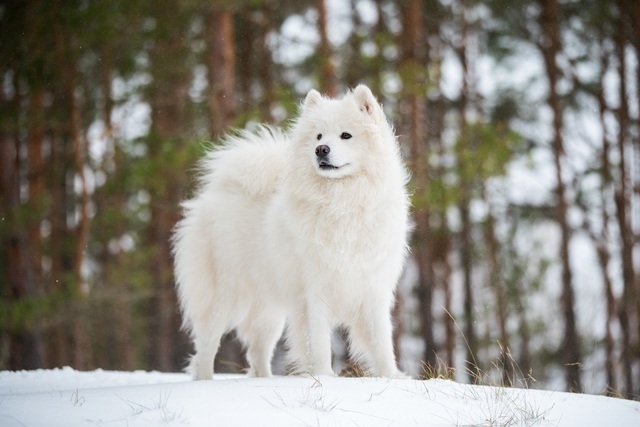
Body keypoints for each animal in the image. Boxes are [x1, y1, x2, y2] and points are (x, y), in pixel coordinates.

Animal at [172, 84, 410, 382]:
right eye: (318, 136)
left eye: (346, 135)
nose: (321, 149)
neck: (342, 202)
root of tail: (216, 193)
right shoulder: (316, 289)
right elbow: (319, 342)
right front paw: (324, 377)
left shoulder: (372, 287)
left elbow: (381, 341)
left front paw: (391, 377)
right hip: (225, 294)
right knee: (207, 343)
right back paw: (203, 381)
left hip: (268, 310)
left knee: (258, 351)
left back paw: (262, 380)